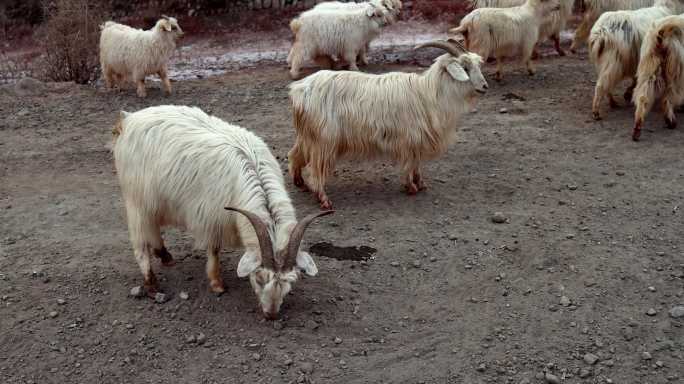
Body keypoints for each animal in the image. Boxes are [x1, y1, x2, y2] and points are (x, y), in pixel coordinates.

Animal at [112, 104, 334, 318]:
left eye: (289, 282)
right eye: (259, 278)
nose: (271, 315)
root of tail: (128, 119)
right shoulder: (211, 217)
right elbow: (214, 249)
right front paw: (217, 284)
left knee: (153, 228)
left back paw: (164, 255)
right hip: (136, 200)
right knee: (140, 242)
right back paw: (151, 284)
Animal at [286, 40, 488, 208]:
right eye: (465, 68)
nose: (485, 87)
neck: (428, 94)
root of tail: (299, 91)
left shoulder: (417, 140)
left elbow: (417, 163)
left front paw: (420, 183)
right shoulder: (408, 139)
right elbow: (409, 163)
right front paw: (410, 186)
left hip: (308, 136)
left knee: (294, 154)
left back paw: (299, 182)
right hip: (324, 141)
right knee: (316, 169)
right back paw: (323, 199)